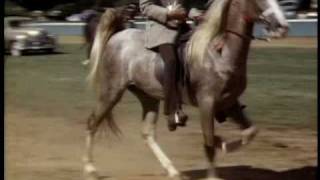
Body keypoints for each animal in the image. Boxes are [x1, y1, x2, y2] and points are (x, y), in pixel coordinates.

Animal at [82, 0, 288, 179]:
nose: (282, 27)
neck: (218, 52)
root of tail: (119, 34)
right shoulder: (207, 103)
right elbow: (208, 142)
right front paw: (215, 167)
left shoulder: (230, 103)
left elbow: (250, 132)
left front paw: (224, 143)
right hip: (111, 91)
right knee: (92, 123)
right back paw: (90, 169)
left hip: (148, 97)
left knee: (147, 133)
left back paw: (173, 170)